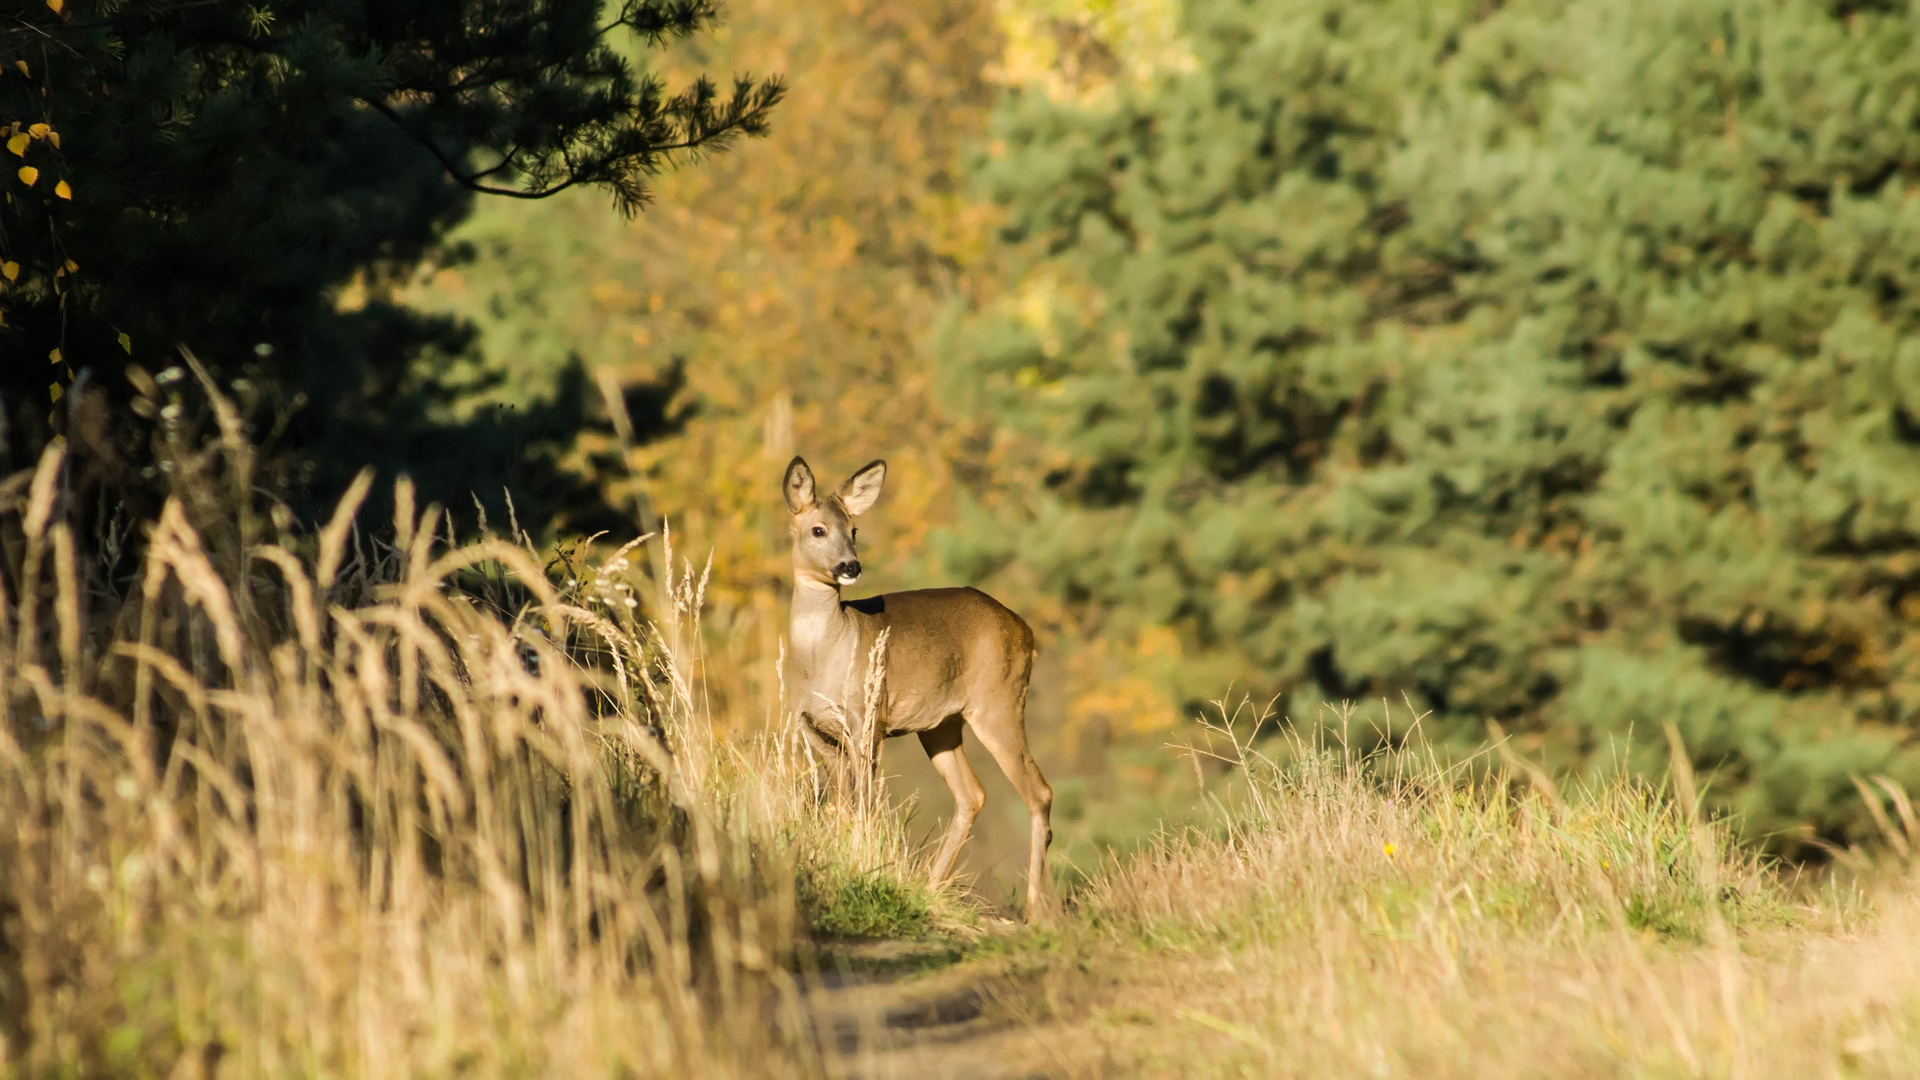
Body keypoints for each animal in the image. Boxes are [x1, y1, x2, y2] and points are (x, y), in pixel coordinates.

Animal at [775, 453, 1052, 914]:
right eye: (818, 529)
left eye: (854, 530)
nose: (850, 566)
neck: (824, 657)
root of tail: (1026, 632)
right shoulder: (813, 727)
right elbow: (842, 806)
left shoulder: (868, 718)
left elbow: (865, 804)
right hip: (940, 724)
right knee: (972, 793)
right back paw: (932, 887)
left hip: (999, 702)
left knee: (1038, 791)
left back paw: (1034, 910)